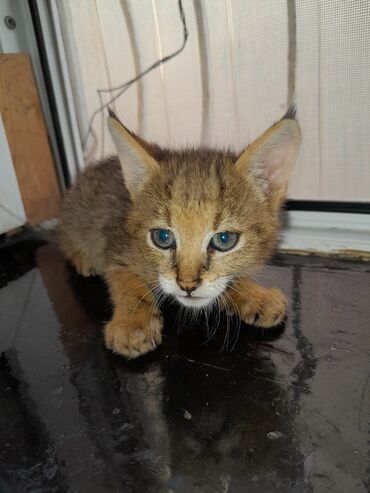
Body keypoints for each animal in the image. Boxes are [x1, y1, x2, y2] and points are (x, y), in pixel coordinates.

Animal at [57, 108, 300, 358]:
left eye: (224, 240)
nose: (187, 286)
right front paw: (133, 324)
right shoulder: (115, 246)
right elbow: (128, 283)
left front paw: (255, 294)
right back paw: (84, 259)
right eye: (162, 238)